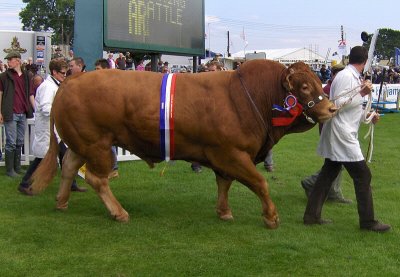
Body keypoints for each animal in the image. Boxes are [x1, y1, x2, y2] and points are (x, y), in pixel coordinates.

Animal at [29, 59, 336, 227]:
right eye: (304, 86)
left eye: (317, 80)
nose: (331, 108)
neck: (251, 97)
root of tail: (71, 81)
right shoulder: (232, 153)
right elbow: (260, 183)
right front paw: (271, 217)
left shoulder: (225, 156)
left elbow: (224, 184)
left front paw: (224, 212)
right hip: (98, 145)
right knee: (96, 178)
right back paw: (119, 213)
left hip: (82, 143)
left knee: (69, 166)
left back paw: (61, 202)